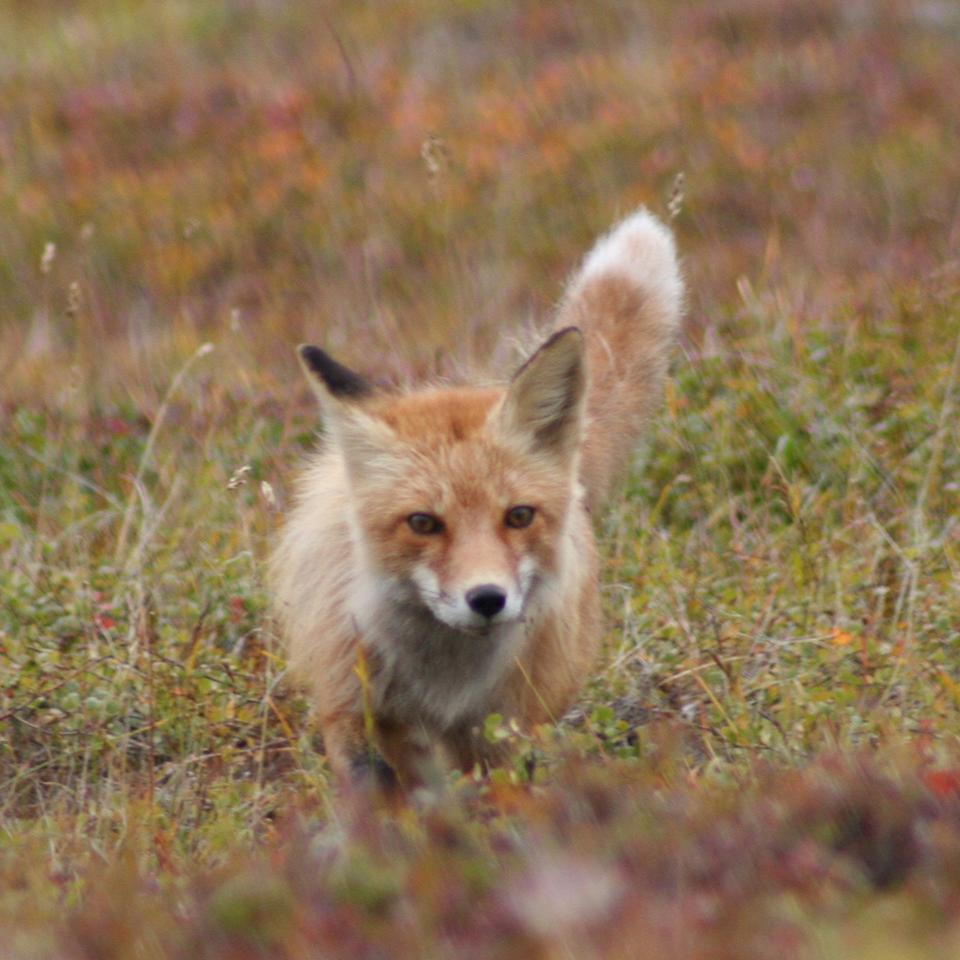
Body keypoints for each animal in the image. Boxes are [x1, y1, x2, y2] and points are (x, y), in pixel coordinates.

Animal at [270, 207, 683, 791]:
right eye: (423, 522)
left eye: (519, 516)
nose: (487, 598)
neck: (444, 680)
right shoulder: (355, 711)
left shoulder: (502, 731)